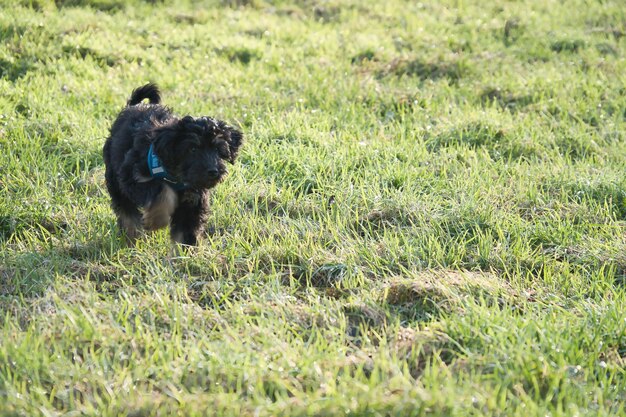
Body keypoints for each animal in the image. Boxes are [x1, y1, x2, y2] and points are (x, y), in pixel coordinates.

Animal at [102, 84, 241, 245]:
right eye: (192, 149)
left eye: (218, 150)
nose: (213, 171)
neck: (177, 176)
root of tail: (134, 105)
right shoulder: (133, 176)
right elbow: (163, 193)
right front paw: (157, 220)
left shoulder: (193, 203)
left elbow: (186, 233)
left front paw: (184, 250)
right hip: (115, 178)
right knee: (126, 210)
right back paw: (133, 235)